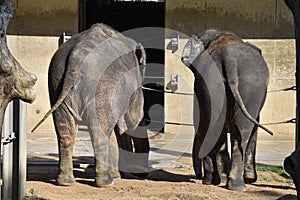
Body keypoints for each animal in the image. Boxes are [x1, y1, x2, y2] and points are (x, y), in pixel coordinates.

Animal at [32, 23, 149, 188]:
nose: (141, 175)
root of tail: (77, 56)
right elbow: (134, 120)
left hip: (56, 83)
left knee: (66, 132)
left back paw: (66, 182)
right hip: (103, 85)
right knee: (100, 133)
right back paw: (106, 183)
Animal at [182, 28, 274, 191]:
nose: (196, 176)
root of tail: (229, 58)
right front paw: (249, 179)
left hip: (227, 83)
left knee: (219, 129)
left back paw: (217, 182)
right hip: (237, 85)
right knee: (239, 132)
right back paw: (231, 184)